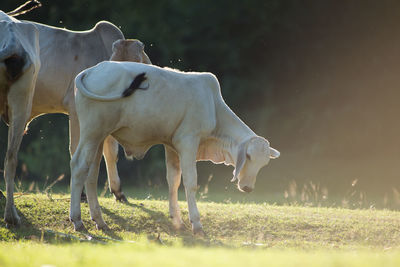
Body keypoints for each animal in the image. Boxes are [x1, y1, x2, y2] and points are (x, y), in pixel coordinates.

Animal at [70, 61, 280, 236]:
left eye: (264, 164)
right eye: (249, 156)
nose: (247, 187)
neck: (213, 106)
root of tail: (92, 70)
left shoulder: (171, 146)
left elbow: (173, 180)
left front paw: (176, 220)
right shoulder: (188, 142)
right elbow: (190, 182)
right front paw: (196, 224)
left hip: (99, 137)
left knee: (91, 173)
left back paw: (99, 221)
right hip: (93, 132)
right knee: (79, 166)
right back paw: (77, 220)